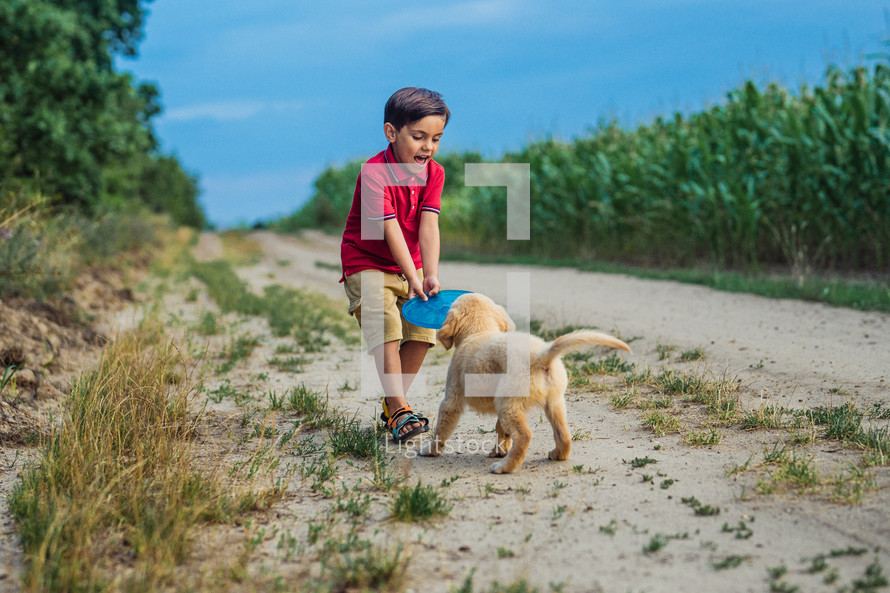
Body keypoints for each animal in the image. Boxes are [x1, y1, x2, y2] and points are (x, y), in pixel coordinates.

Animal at [420, 294, 628, 474]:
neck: (480, 330)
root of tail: (540, 356)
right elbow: (501, 430)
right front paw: (500, 449)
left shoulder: (451, 399)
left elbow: (441, 429)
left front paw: (430, 450)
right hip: (553, 402)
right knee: (563, 434)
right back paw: (556, 454)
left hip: (507, 404)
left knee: (524, 435)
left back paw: (504, 467)